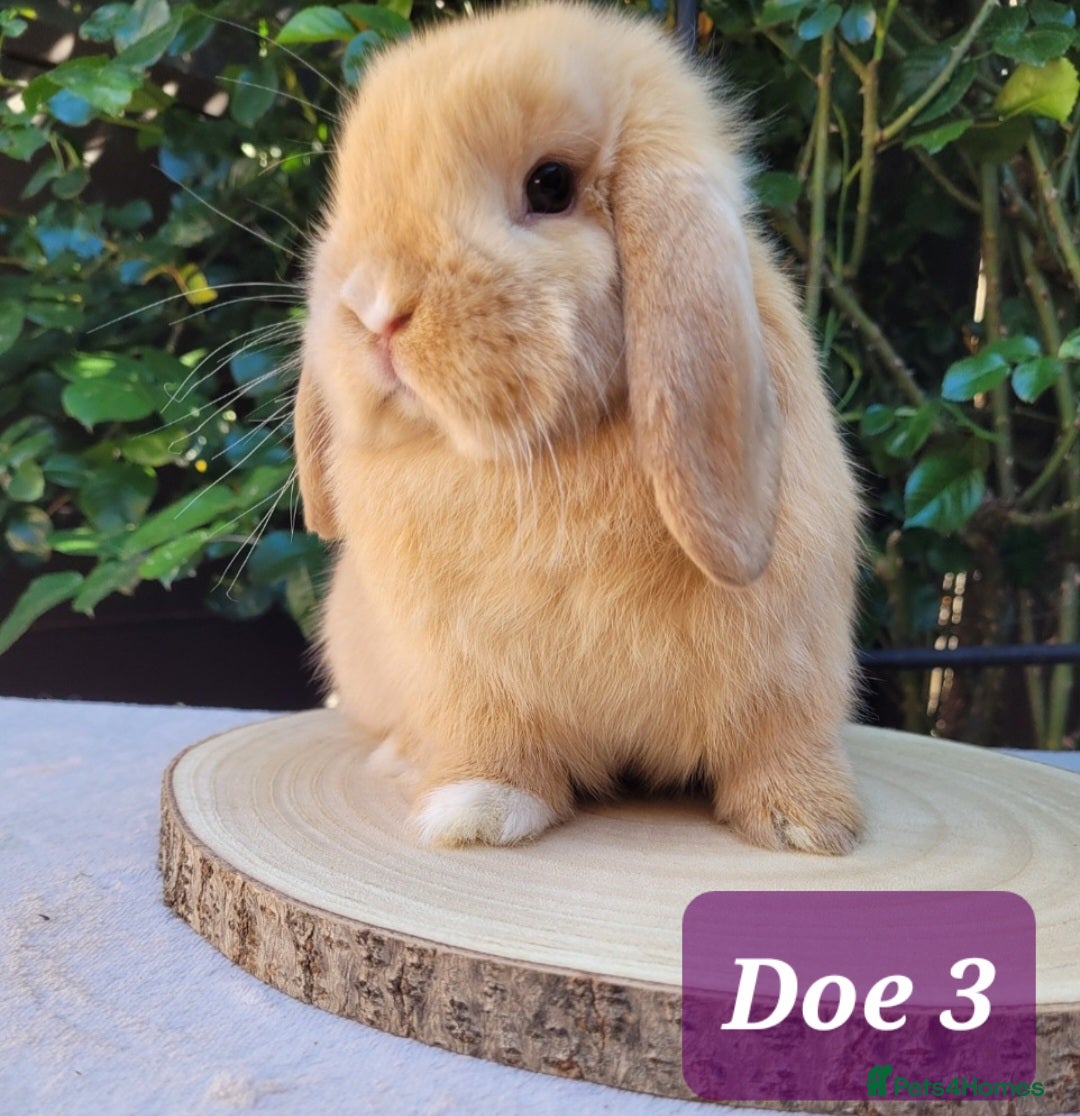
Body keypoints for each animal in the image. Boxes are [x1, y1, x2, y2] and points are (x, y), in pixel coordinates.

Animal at [294, 1, 864, 855]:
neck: (546, 455)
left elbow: (780, 738)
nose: (373, 308)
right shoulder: (467, 673)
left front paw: (808, 823)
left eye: (550, 184)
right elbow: (494, 742)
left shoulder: (792, 655)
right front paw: (475, 811)